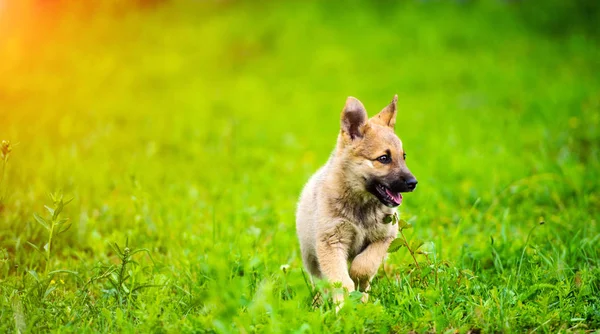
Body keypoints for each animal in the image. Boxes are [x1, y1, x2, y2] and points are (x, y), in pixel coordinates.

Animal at [296, 94, 418, 306]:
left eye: (403, 157)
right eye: (384, 158)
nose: (413, 183)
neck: (361, 204)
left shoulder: (384, 238)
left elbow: (364, 266)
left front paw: (360, 289)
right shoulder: (331, 242)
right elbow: (340, 281)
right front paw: (344, 307)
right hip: (311, 255)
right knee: (319, 279)